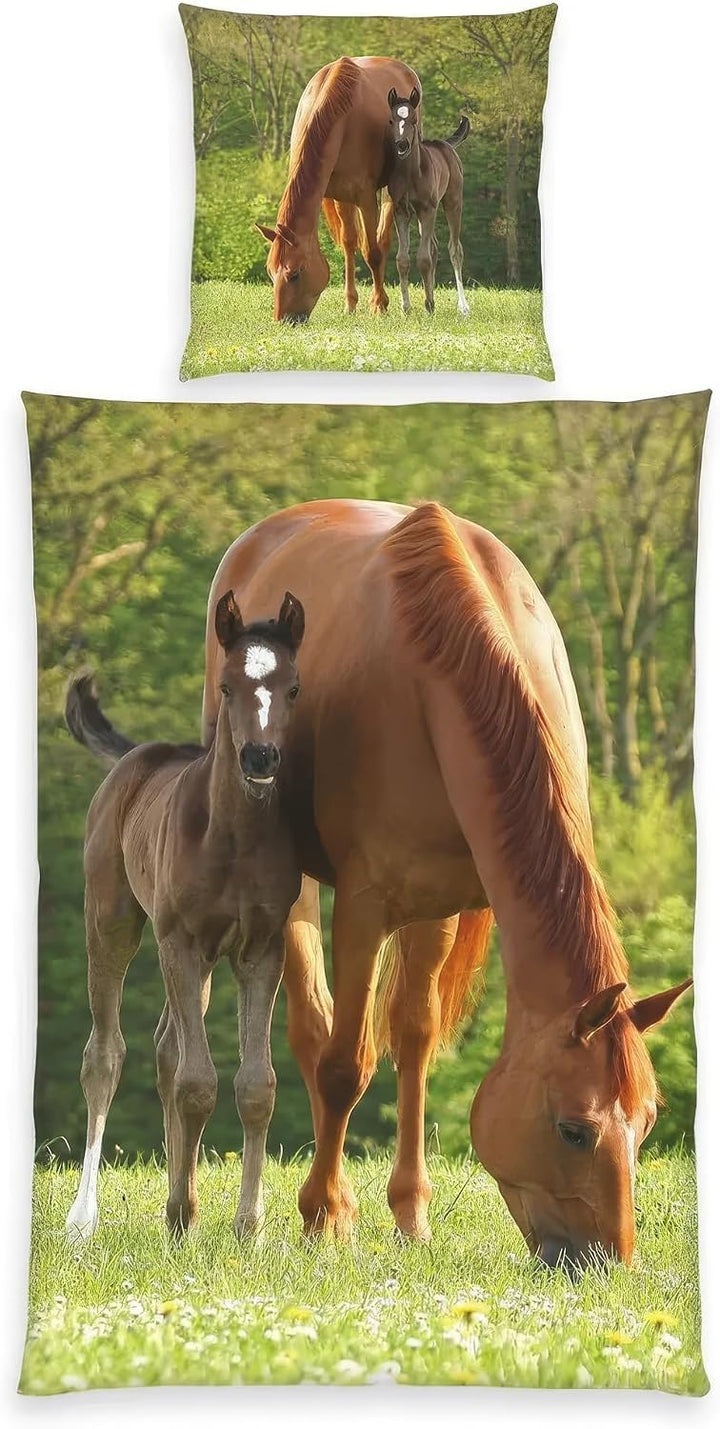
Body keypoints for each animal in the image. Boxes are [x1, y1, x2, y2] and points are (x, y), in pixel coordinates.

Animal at [64, 591, 305, 1242]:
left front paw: (247, 1226)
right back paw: (84, 1217)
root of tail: (135, 757)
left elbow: (256, 1084)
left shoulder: (260, 950)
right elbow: (197, 1083)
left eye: (292, 686)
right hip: (111, 920)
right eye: (225, 685)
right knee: (107, 1053)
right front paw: (186, 1217)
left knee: (166, 1048)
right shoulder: (181, 942)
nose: (260, 757)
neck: (235, 838)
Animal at [201, 500, 691, 1271]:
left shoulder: (439, 903)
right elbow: (345, 1064)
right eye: (573, 1129)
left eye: (644, 1125)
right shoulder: (365, 906)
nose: (606, 1262)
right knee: (313, 1029)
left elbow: (416, 1041)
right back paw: (328, 1203)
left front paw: (411, 1214)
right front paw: (323, 1214)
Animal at [256, 56, 422, 323]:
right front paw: (350, 304)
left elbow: (372, 251)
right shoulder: (341, 195)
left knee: (382, 239)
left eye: (295, 274)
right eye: (271, 273)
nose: (284, 320)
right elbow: (348, 244)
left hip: (389, 190)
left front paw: (379, 304)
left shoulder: (365, 197)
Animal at [387, 87, 470, 317]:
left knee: (454, 249)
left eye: (414, 119)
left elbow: (423, 258)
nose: (402, 145)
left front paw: (427, 304)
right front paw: (407, 308)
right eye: (391, 119)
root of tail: (446, 144)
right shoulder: (401, 211)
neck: (411, 173)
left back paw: (463, 307)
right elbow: (402, 259)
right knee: (434, 247)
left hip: (453, 202)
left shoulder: (427, 209)